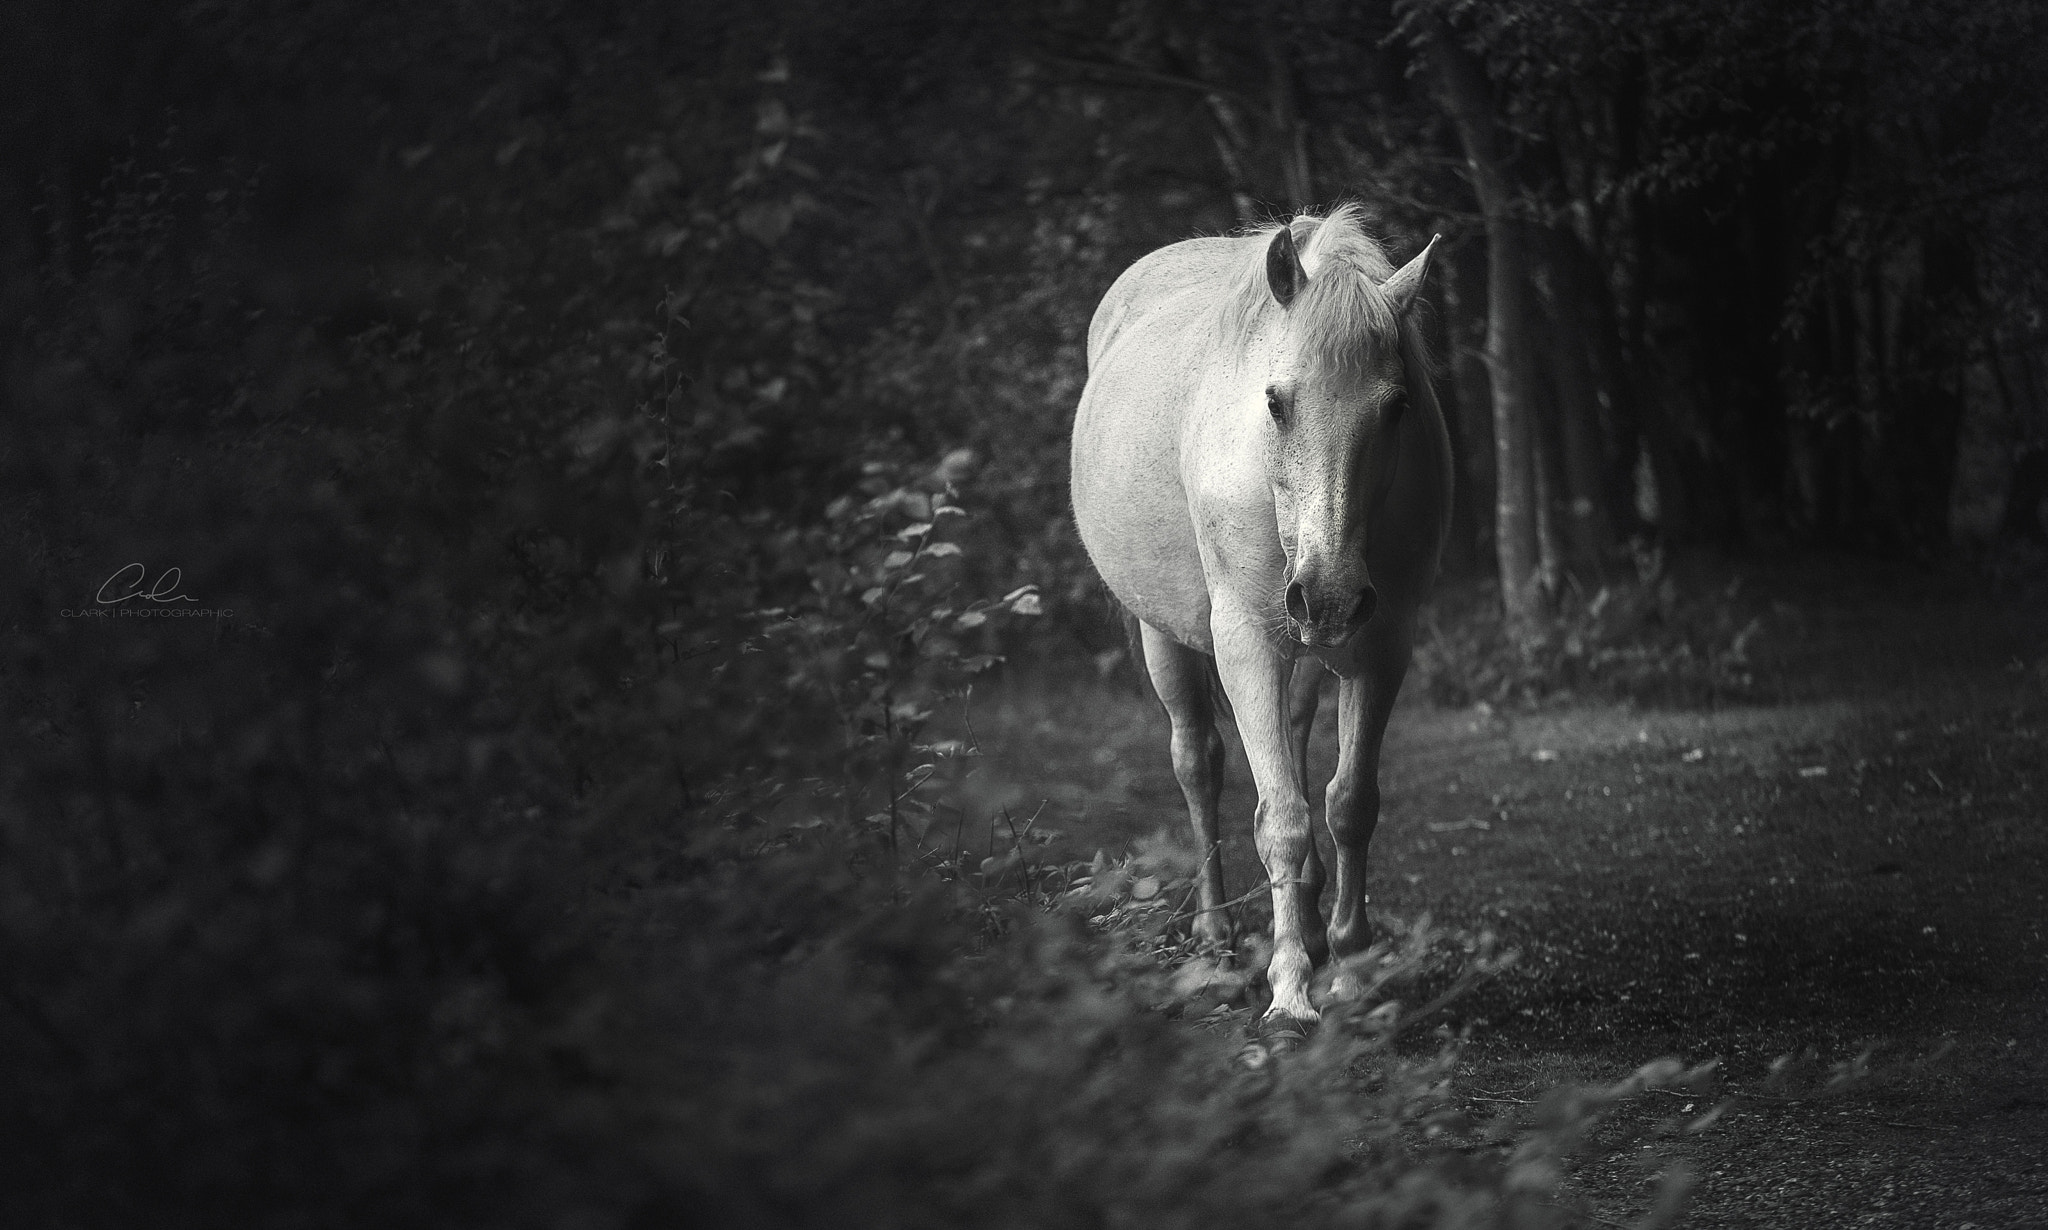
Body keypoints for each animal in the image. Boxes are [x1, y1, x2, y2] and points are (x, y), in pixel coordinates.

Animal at [1070, 206, 1452, 1033]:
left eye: (1397, 407)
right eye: (1276, 402)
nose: (1330, 594)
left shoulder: (1384, 647)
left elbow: (1348, 805)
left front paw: (1347, 964)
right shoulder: (1246, 643)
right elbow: (1280, 818)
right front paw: (1291, 992)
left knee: (1298, 753)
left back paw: (1307, 925)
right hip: (1168, 640)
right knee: (1199, 764)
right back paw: (1216, 938)